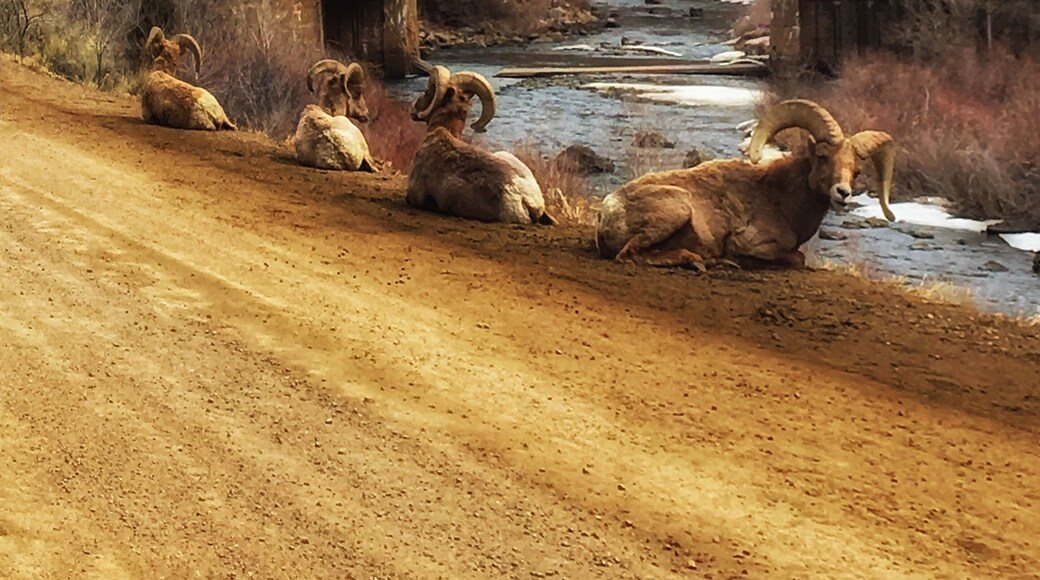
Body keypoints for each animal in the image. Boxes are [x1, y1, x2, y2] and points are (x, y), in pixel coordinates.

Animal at [595, 99, 896, 270]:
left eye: (857, 171)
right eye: (822, 157)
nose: (842, 193)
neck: (779, 199)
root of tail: (608, 211)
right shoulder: (753, 245)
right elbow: (798, 258)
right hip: (677, 207)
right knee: (629, 255)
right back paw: (700, 261)